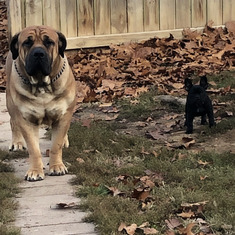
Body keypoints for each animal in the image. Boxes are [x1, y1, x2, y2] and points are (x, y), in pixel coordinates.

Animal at [5, 25, 76, 181]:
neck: (41, 85)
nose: (38, 53)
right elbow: (34, 149)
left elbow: (56, 145)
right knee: (13, 121)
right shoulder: (26, 120)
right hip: (10, 102)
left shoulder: (63, 115)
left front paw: (57, 167)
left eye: (49, 42)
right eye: (27, 42)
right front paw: (35, 171)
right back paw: (17, 142)